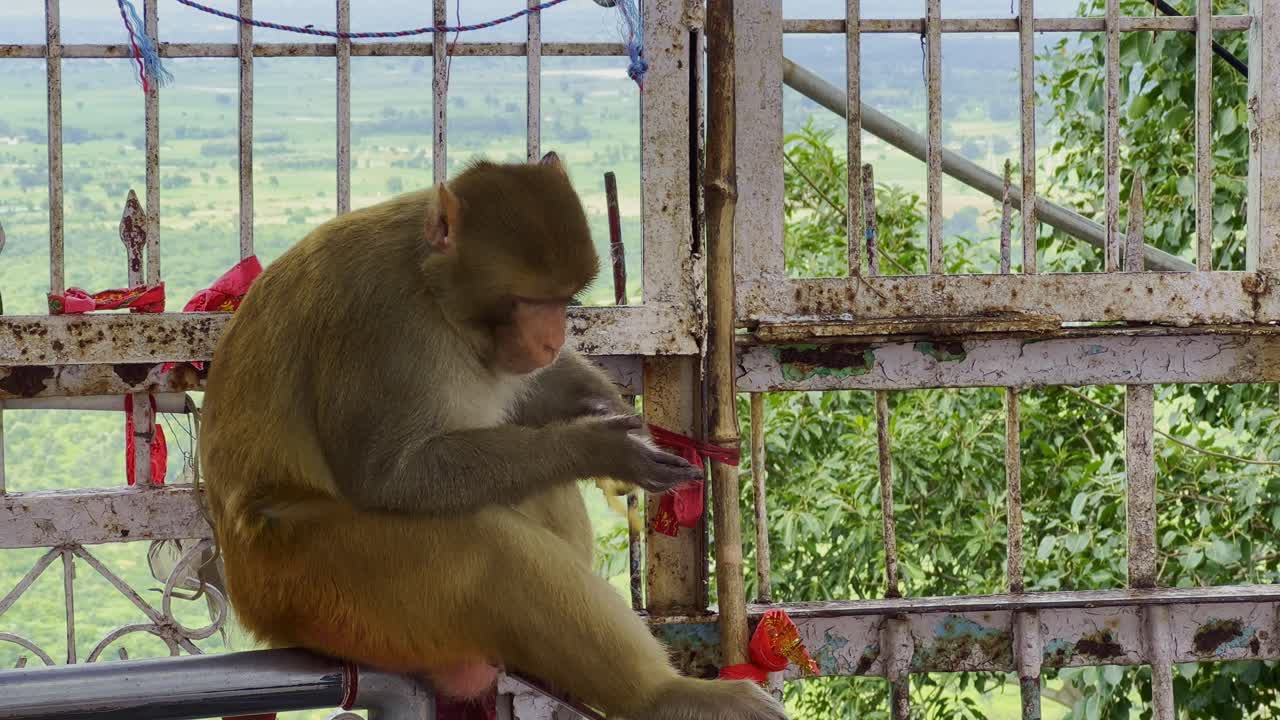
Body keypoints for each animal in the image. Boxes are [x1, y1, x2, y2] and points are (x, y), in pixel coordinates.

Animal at [198, 152, 789, 720]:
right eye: (527, 301)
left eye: (566, 301)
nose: (551, 339)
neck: (432, 284)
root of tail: (249, 596)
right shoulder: (378, 321)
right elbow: (389, 476)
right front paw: (600, 448)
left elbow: (531, 393)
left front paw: (612, 411)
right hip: (320, 587)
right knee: (487, 550)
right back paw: (662, 696)